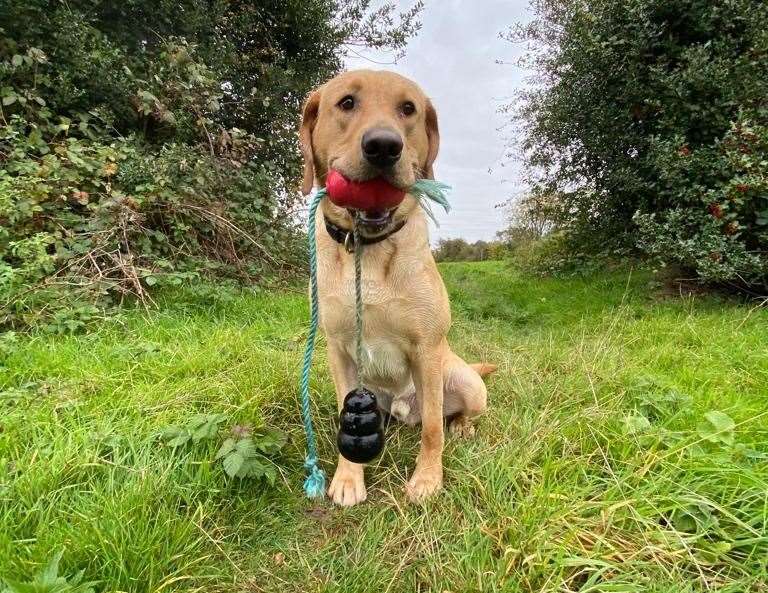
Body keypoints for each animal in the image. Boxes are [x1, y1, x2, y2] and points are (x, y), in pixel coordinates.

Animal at [296, 69, 496, 504]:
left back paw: (463, 427)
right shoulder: (339, 350)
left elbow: (434, 429)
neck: (367, 249)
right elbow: (346, 418)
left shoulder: (427, 347)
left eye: (408, 109)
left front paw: (427, 479)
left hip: (465, 380)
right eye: (347, 102)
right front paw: (349, 478)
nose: (384, 146)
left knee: (451, 416)